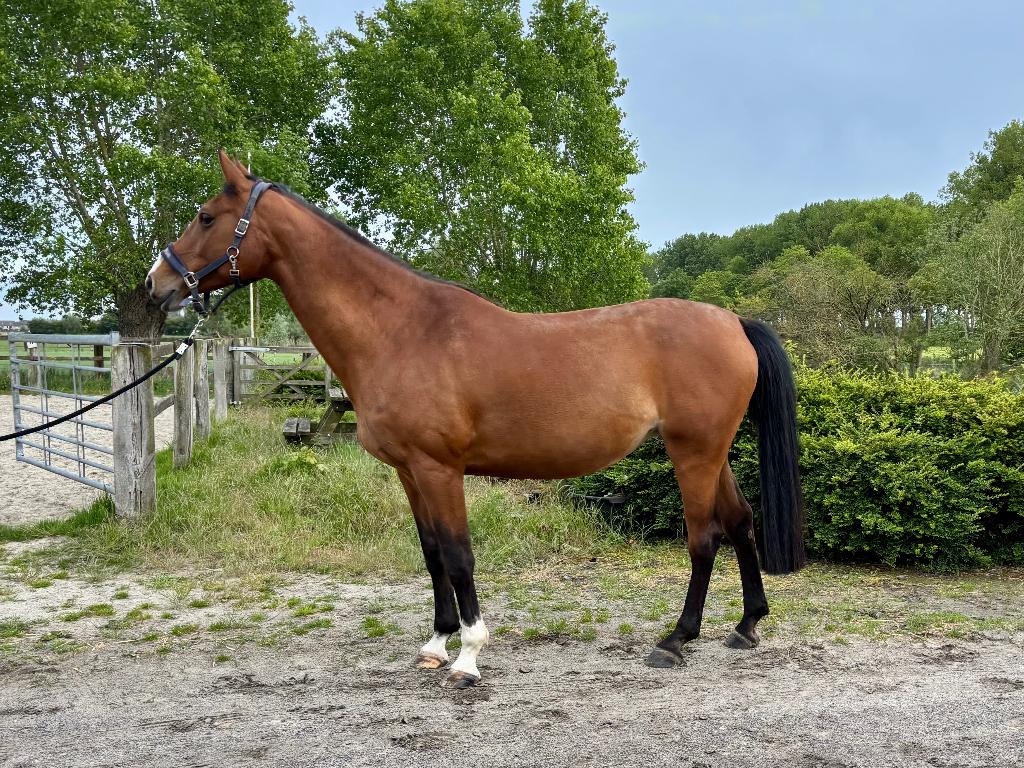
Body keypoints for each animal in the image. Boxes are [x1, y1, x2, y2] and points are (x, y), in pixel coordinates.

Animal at [147, 151, 805, 687]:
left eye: (206, 217)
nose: (157, 286)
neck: (402, 331)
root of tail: (733, 322)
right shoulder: (410, 472)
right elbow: (432, 553)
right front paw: (436, 645)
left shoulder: (440, 469)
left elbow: (460, 555)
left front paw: (468, 656)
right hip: (712, 452)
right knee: (741, 522)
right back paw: (746, 625)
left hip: (693, 451)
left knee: (704, 537)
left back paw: (676, 639)